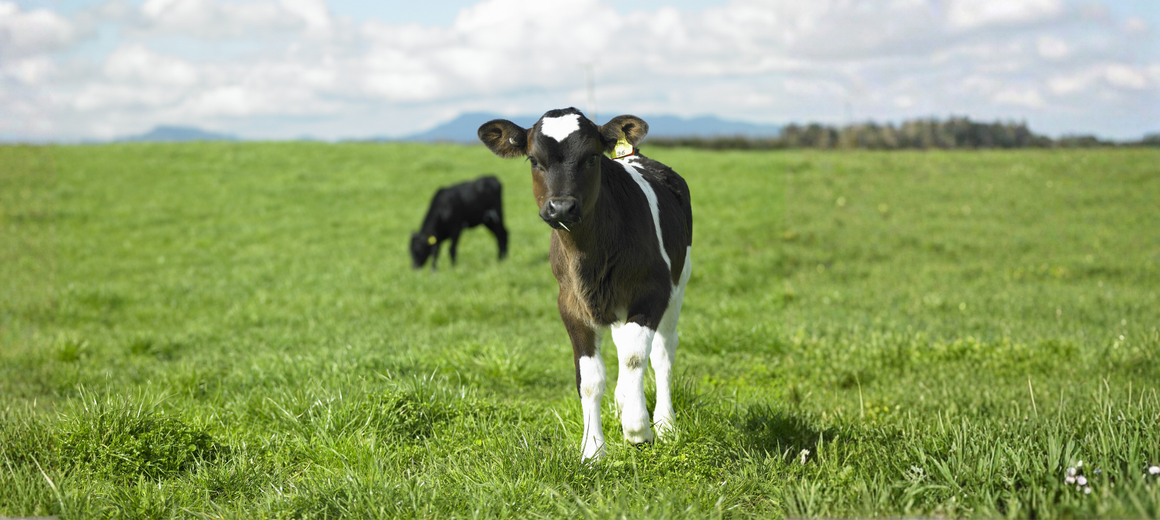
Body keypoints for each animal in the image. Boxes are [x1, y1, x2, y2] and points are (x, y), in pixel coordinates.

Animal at [478, 108, 692, 461]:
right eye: (534, 160)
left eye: (592, 157)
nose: (562, 207)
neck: (591, 256)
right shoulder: (570, 303)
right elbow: (590, 377)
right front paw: (593, 450)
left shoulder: (653, 292)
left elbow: (636, 357)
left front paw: (639, 427)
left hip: (679, 283)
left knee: (662, 352)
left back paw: (665, 422)